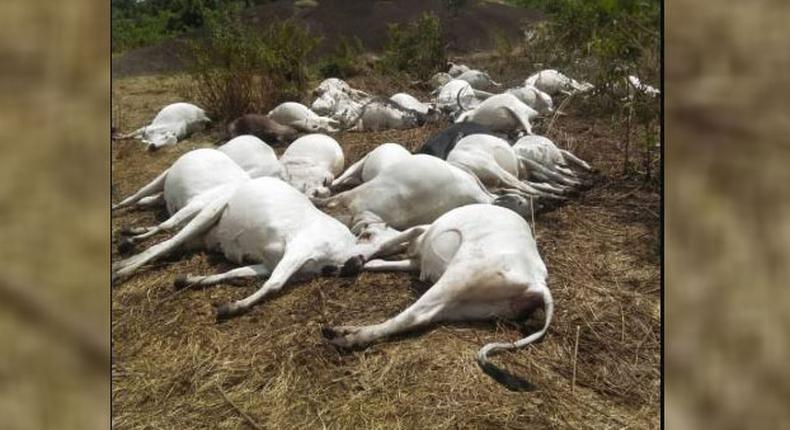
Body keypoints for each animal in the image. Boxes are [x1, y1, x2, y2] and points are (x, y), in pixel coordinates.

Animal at [111, 176, 390, 320]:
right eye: (368, 233)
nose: (355, 263)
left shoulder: (269, 263)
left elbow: (233, 273)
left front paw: (189, 279)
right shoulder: (299, 248)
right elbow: (274, 285)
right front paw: (231, 307)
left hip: (200, 236)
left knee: (169, 243)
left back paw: (124, 252)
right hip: (206, 213)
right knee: (166, 239)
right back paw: (121, 267)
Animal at [324, 203, 552, 392]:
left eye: (366, 234)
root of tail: (537, 282)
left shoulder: (420, 230)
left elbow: (387, 244)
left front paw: (350, 263)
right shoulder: (416, 262)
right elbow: (379, 262)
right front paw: (345, 266)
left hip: (459, 275)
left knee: (411, 316)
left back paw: (347, 336)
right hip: (464, 305)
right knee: (422, 316)